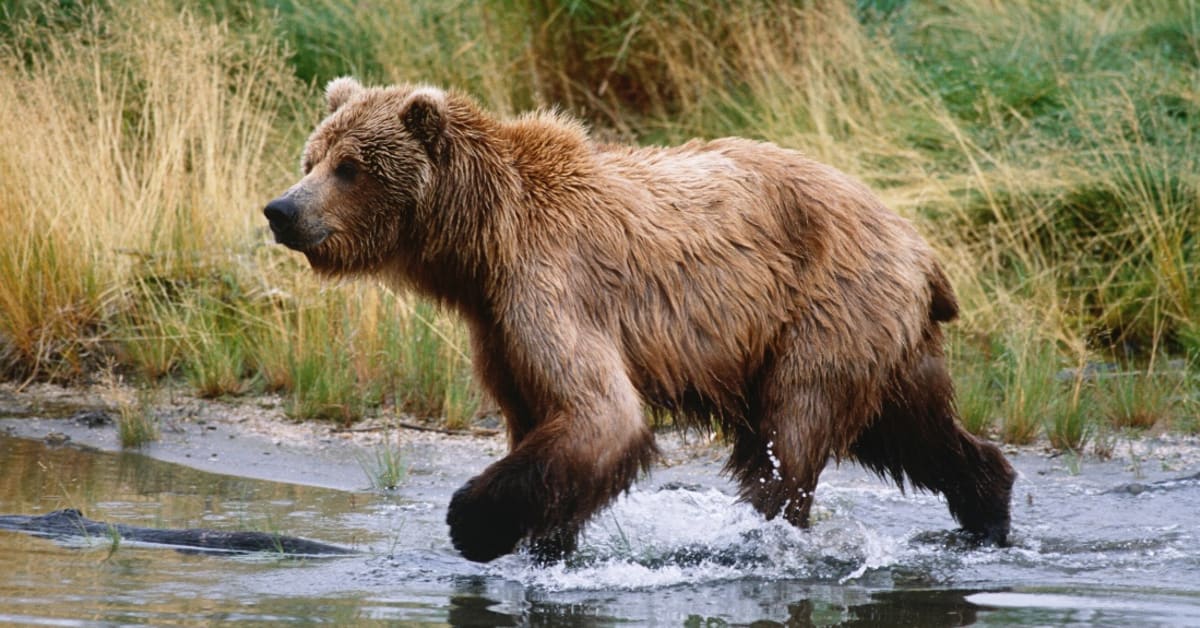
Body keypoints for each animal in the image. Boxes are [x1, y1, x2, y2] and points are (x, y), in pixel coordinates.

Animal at [262, 77, 1012, 564]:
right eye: (312, 157)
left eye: (350, 167)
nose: (282, 209)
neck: (480, 243)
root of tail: (921, 248)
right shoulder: (497, 324)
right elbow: (545, 421)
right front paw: (547, 538)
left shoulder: (548, 285)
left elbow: (602, 413)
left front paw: (471, 522)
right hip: (888, 337)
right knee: (917, 431)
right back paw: (988, 505)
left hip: (823, 312)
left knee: (790, 433)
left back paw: (759, 535)